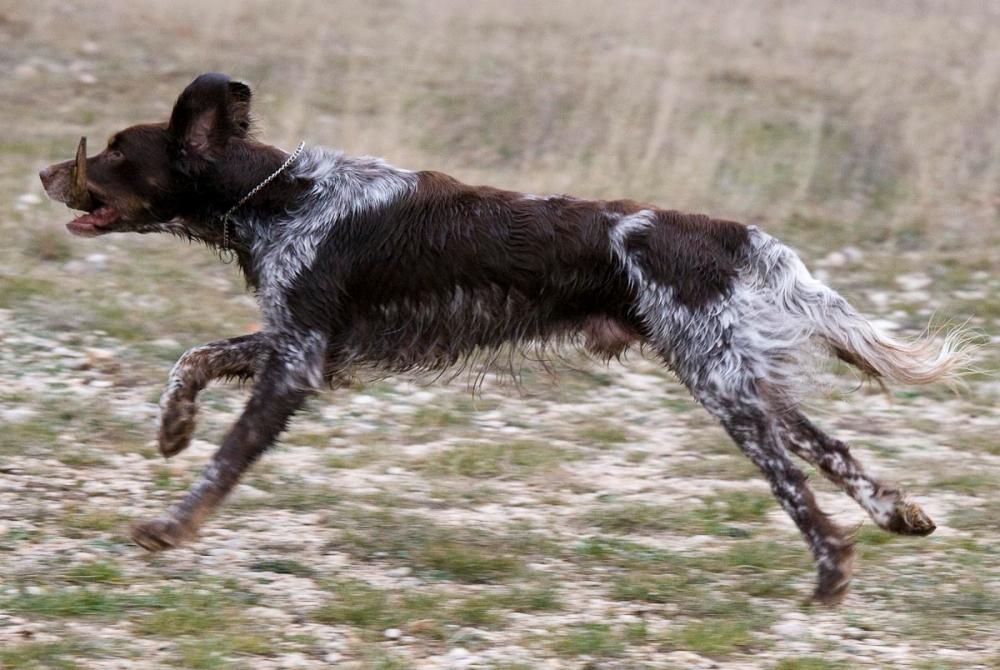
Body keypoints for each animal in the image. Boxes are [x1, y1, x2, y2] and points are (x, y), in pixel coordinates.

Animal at [39, 72, 968, 604]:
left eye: (116, 152)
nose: (47, 170)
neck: (277, 196)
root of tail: (729, 233)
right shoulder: (307, 343)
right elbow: (191, 359)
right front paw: (172, 428)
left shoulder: (299, 360)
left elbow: (225, 462)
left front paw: (172, 526)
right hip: (736, 374)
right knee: (830, 446)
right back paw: (900, 515)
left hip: (721, 386)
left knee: (797, 483)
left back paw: (833, 572)